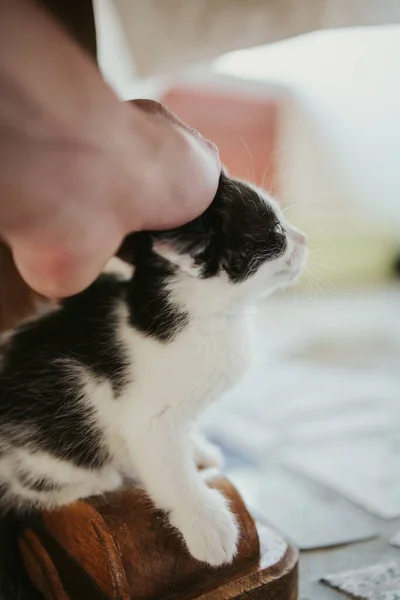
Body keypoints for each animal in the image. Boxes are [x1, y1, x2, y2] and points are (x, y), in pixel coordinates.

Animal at [0, 172, 306, 568]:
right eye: (275, 231)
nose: (305, 239)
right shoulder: (148, 421)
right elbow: (173, 474)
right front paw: (207, 524)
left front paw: (198, 449)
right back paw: (104, 480)